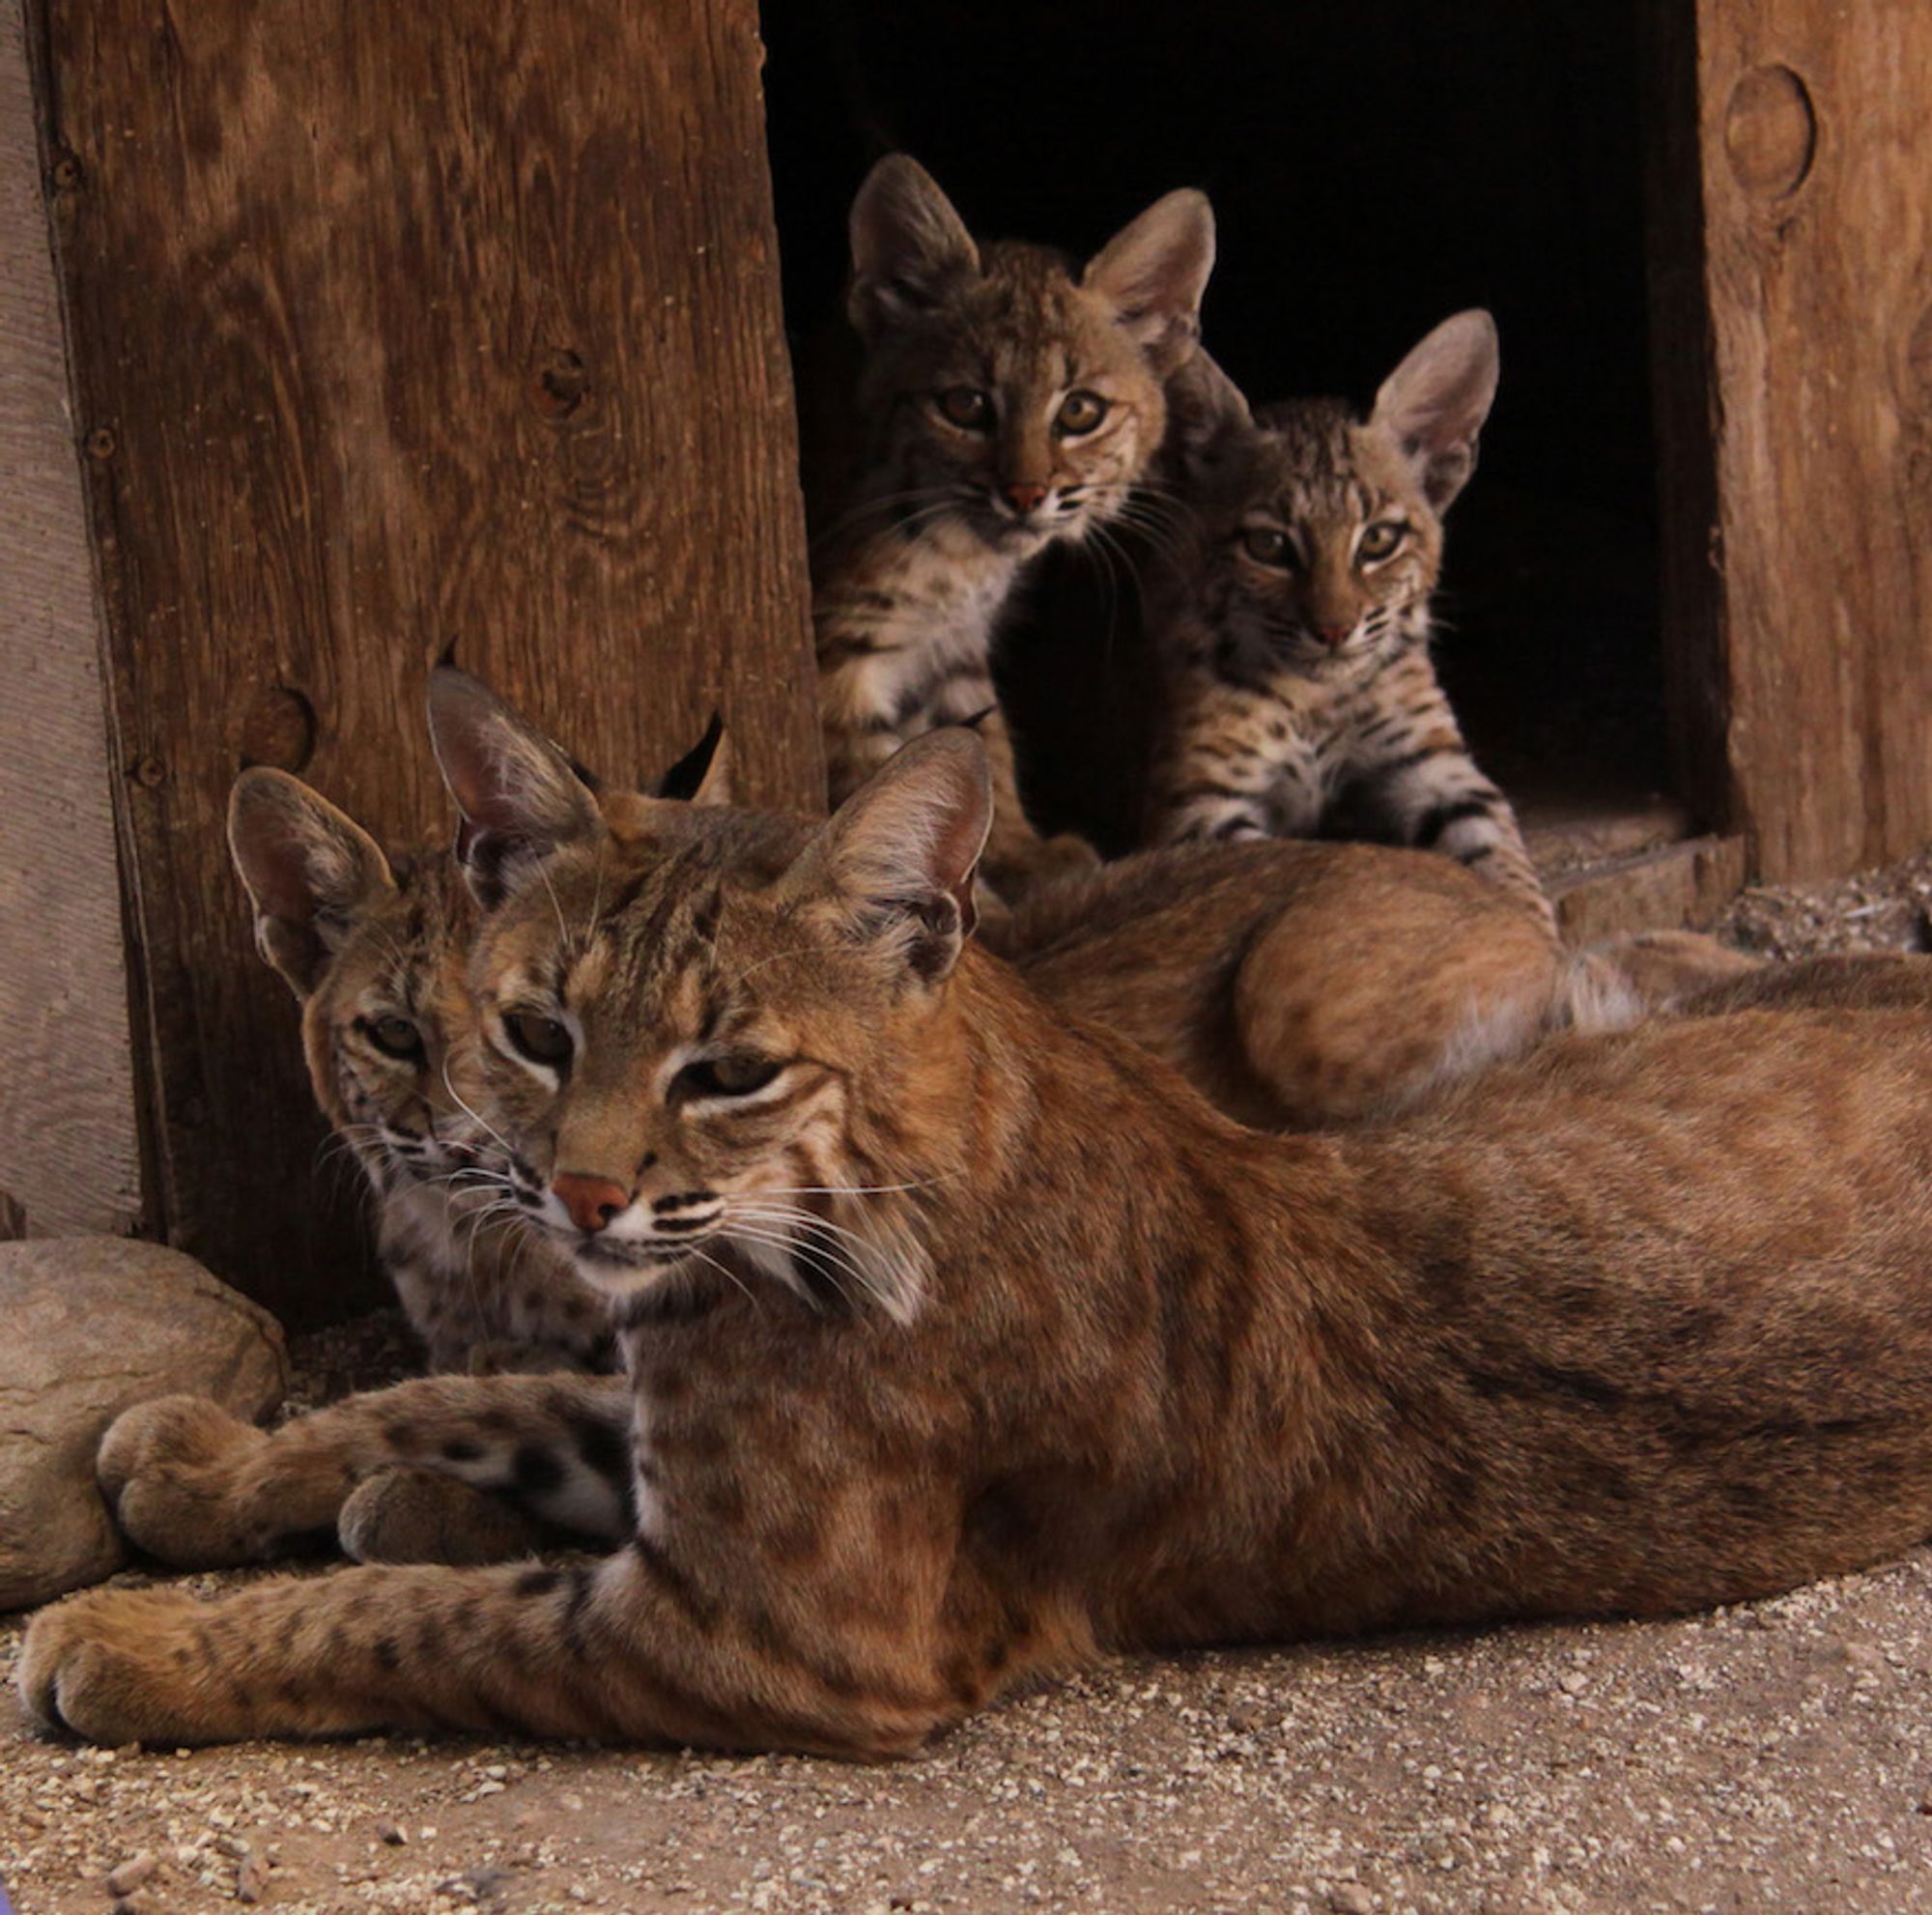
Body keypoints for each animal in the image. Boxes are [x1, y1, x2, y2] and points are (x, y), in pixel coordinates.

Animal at [34, 715, 1932, 1755]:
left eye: (727, 1068)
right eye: (534, 1031)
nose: (558, 1187)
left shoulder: (770, 1631)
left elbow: (402, 1622)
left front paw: (133, 1643)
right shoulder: (646, 1390)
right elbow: (425, 1404)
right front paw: (214, 1464)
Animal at [811, 154, 1206, 897]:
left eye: (1080, 411)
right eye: (964, 405)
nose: (1025, 494)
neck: (953, 552)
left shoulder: (954, 642)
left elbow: (982, 741)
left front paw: (1023, 849)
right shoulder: (840, 654)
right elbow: (872, 790)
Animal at [1144, 313, 1553, 935]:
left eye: (1379, 540)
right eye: (1268, 546)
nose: (1335, 631)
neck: (1314, 696)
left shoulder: (1433, 764)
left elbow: (1501, 854)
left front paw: (1537, 941)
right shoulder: (1199, 801)